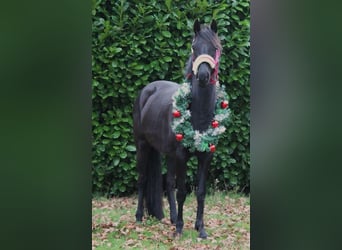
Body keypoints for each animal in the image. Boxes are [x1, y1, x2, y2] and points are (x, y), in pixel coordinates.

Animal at [132, 19, 223, 238]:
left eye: (215, 48)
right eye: (194, 47)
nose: (203, 76)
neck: (199, 113)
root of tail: (147, 90)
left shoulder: (205, 156)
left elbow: (200, 192)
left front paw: (200, 228)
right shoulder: (182, 156)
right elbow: (182, 192)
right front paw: (181, 229)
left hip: (168, 153)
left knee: (168, 184)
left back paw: (173, 218)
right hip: (142, 145)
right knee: (143, 179)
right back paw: (139, 217)